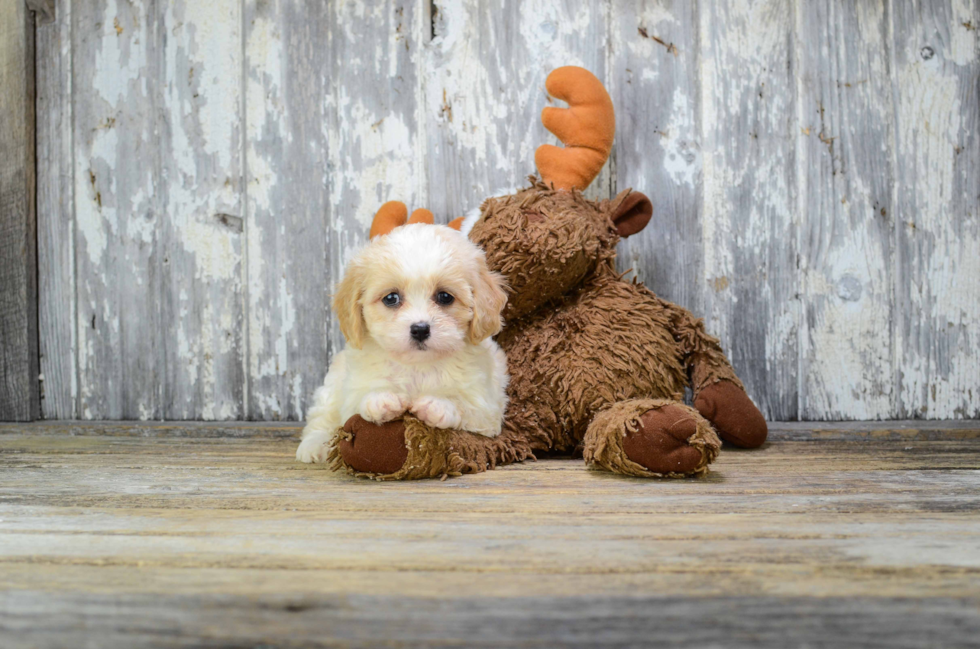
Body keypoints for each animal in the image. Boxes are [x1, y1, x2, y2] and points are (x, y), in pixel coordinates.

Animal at [294, 225, 510, 464]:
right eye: (391, 298)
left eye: (445, 297)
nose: (420, 329)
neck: (418, 366)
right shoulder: (353, 391)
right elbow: (359, 401)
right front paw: (380, 400)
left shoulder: (487, 408)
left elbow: (464, 405)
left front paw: (438, 406)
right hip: (332, 386)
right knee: (321, 417)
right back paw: (314, 445)